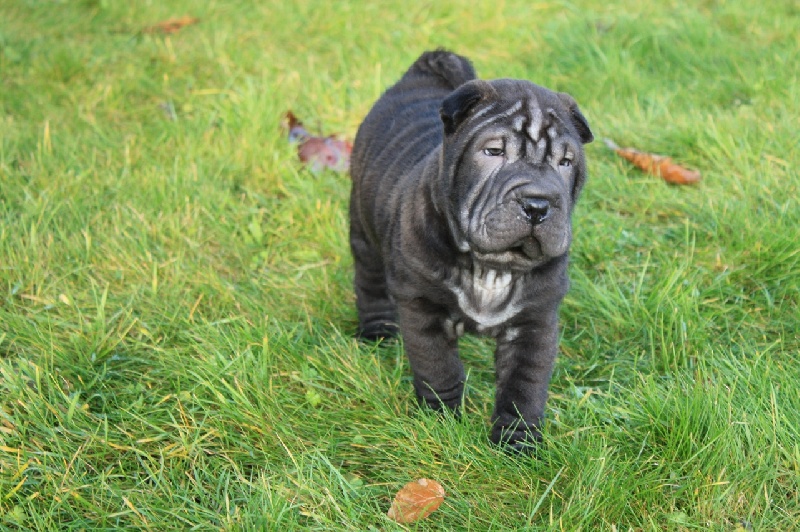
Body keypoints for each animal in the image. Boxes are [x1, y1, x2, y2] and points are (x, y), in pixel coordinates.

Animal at [350, 50, 592, 450]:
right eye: (493, 151)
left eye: (566, 162)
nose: (538, 204)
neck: (493, 265)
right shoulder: (422, 309)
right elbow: (439, 369)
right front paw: (442, 421)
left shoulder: (535, 321)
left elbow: (524, 386)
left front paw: (517, 443)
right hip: (363, 228)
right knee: (369, 281)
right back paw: (378, 331)